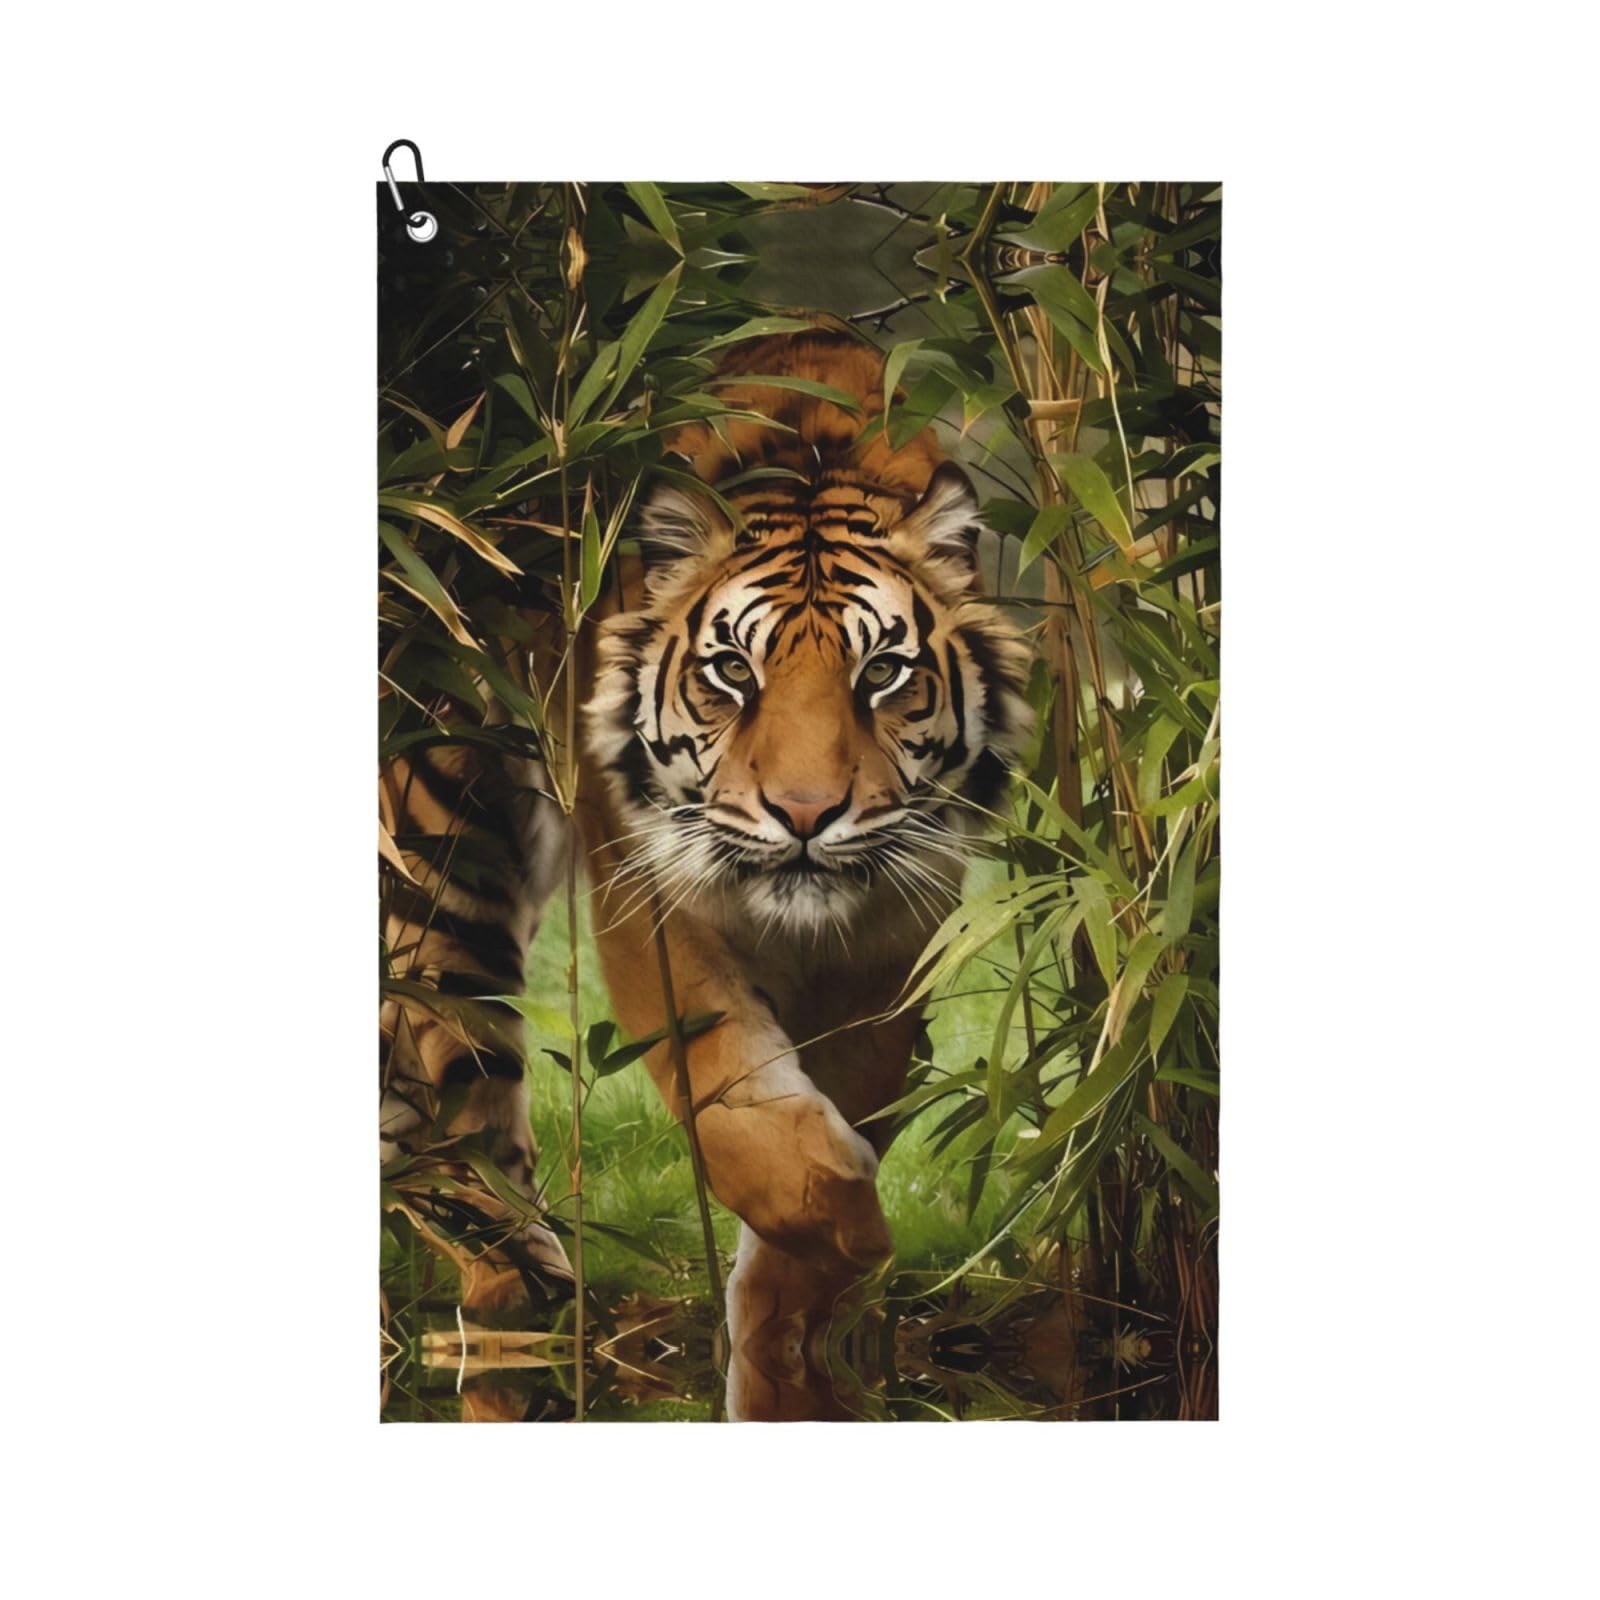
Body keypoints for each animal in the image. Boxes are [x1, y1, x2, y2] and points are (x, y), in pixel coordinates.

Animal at [380, 328, 1033, 1417]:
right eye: (733, 671)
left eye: (882, 674)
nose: (806, 815)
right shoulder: (654, 897)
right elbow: (732, 1093)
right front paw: (847, 1223)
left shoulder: (895, 930)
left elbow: (850, 1094)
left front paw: (796, 1321)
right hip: (446, 867)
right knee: (451, 1101)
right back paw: (520, 1310)